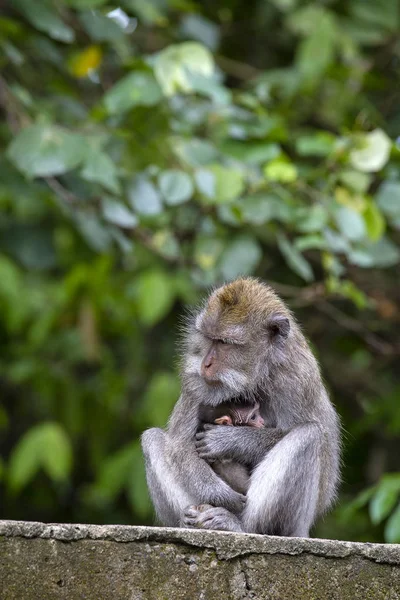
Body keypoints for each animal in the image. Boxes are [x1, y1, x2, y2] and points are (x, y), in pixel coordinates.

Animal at [141, 278, 340, 536]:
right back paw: (189, 520)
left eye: (225, 343)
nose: (206, 363)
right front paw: (219, 494)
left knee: (310, 435)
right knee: (152, 438)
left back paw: (240, 527)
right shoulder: (194, 381)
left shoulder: (296, 378)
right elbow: (179, 446)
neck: (256, 375)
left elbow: (317, 441)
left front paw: (230, 441)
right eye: (210, 338)